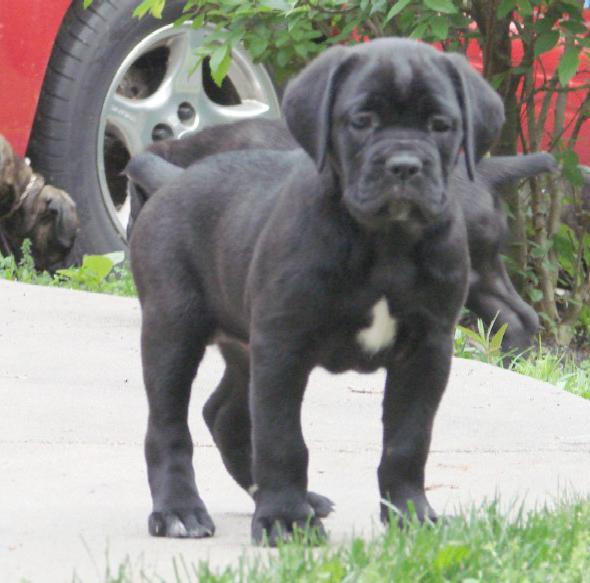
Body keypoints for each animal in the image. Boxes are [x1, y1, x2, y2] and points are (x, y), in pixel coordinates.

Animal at [132, 38, 506, 544]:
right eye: (362, 120)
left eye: (440, 125)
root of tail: (172, 179)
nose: (405, 165)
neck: (385, 240)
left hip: (245, 344)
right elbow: (283, 438)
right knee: (169, 424)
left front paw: (411, 515)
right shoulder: (284, 344)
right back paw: (180, 510)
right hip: (173, 329)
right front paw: (284, 520)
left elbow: (409, 440)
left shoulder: (427, 350)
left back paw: (283, 497)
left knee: (225, 413)